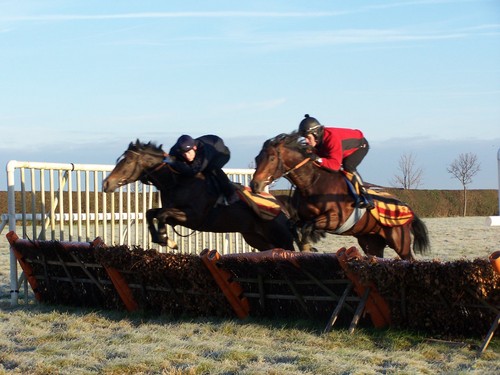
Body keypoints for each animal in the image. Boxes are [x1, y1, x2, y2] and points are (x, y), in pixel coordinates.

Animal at [102, 140, 296, 253]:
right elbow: (151, 213)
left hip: (281, 237)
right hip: (257, 239)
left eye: (127, 161)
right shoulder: (174, 211)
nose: (106, 183)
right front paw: (161, 238)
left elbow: (161, 214)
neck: (178, 180)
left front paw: (166, 239)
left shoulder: (193, 217)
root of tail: (281, 207)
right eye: (120, 158)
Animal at [250, 133, 430, 262]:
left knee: (409, 259)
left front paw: (311, 243)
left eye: (271, 158)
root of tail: (407, 206)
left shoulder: (336, 219)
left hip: (400, 242)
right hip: (371, 242)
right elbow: (293, 225)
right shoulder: (300, 217)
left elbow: (308, 226)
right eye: (257, 158)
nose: (254, 185)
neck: (313, 182)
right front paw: (304, 244)